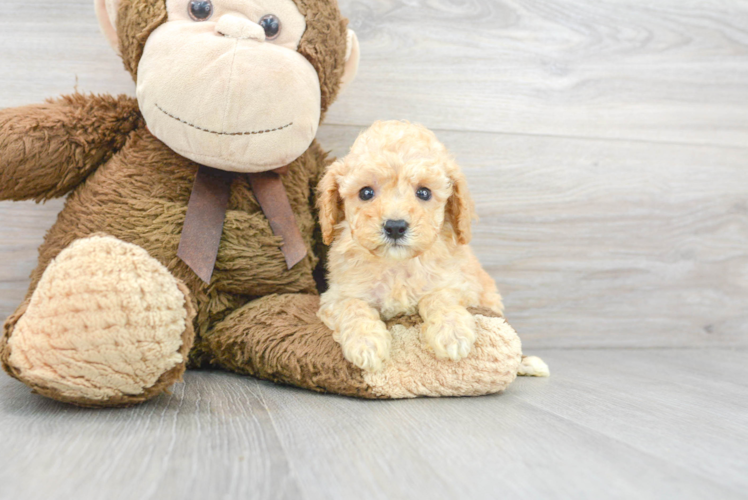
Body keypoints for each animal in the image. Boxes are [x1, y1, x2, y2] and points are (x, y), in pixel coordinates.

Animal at [318, 121, 506, 372]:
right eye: (366, 192)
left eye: (424, 192)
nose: (395, 227)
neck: (397, 264)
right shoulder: (337, 296)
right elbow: (352, 306)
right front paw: (365, 343)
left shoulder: (459, 285)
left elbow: (440, 297)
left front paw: (452, 333)